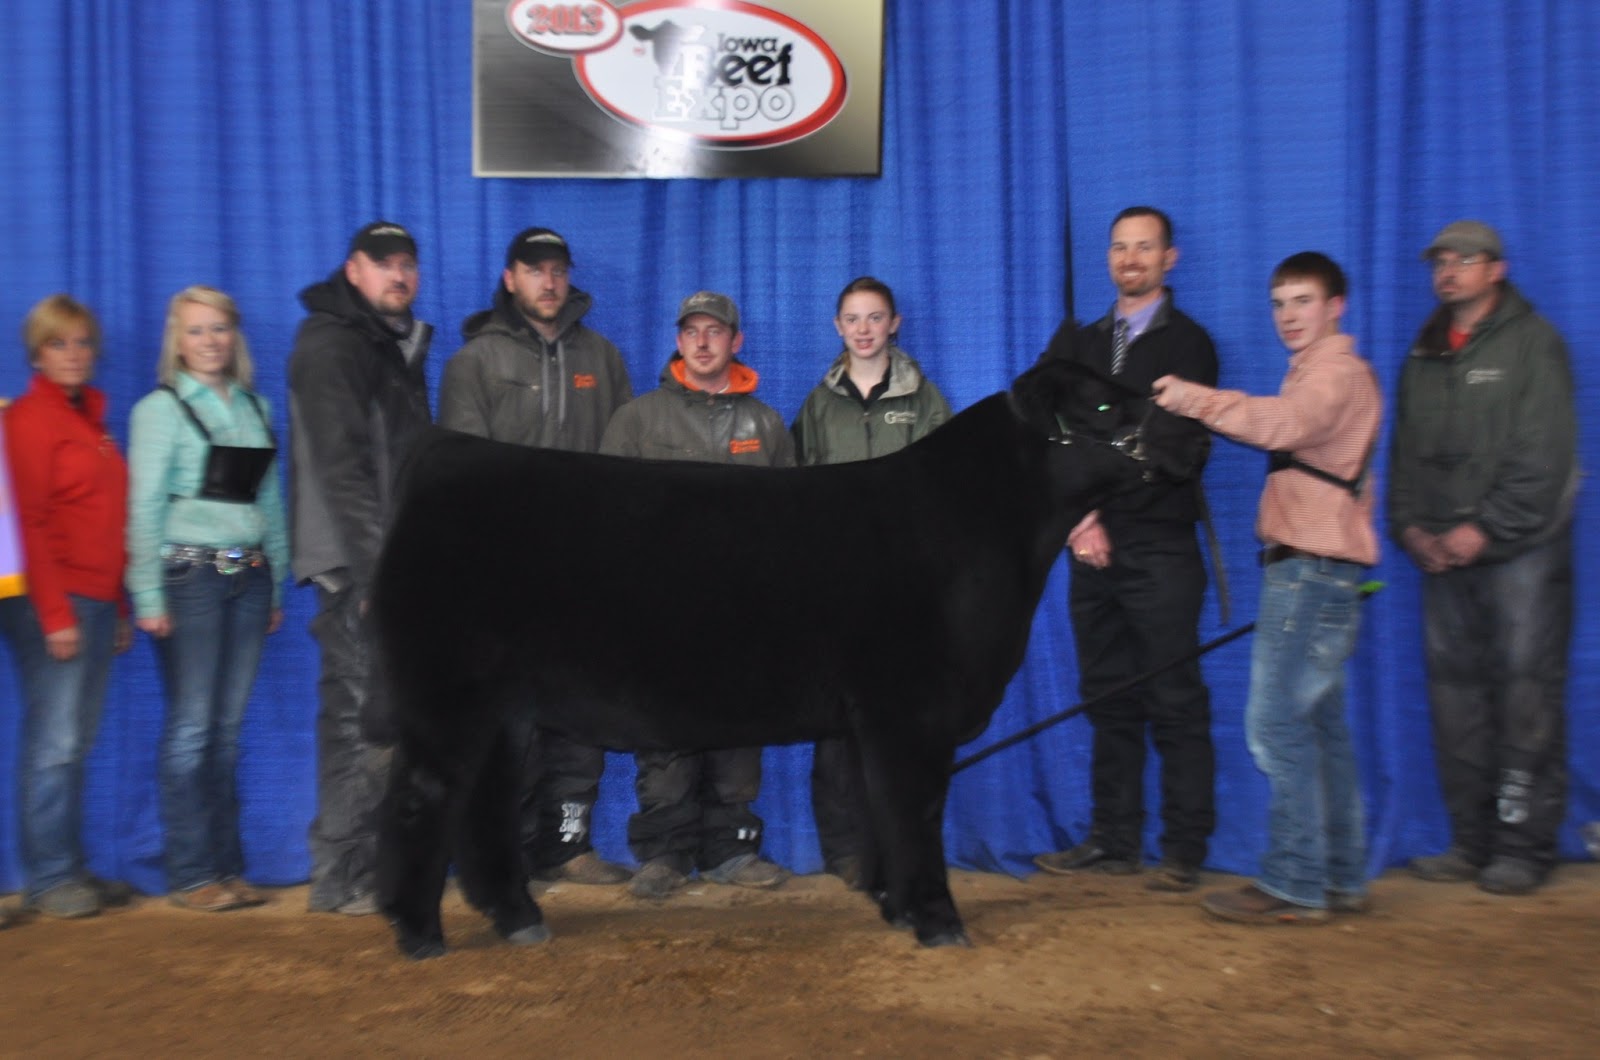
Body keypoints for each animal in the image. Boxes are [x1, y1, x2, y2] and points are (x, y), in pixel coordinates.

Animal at [371, 354, 1169, 959]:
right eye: (1102, 405)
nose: (1175, 413)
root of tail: (446, 451)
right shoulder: (910, 711)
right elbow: (917, 812)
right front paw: (940, 923)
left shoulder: (873, 722)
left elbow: (882, 810)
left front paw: (896, 907)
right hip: (447, 694)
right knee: (423, 797)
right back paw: (419, 934)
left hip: (500, 709)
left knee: (483, 803)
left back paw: (518, 919)